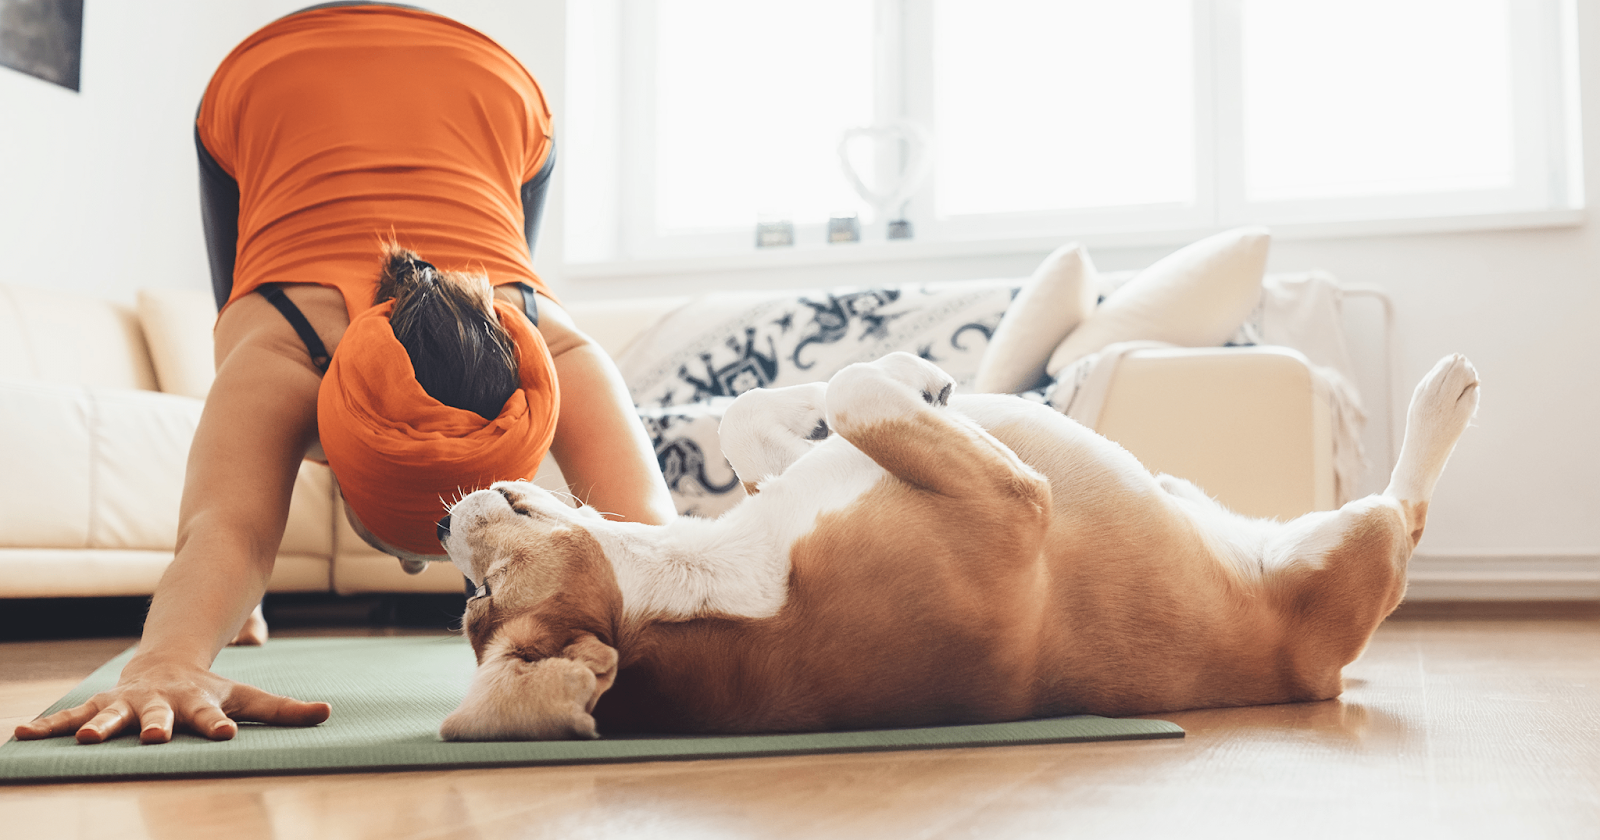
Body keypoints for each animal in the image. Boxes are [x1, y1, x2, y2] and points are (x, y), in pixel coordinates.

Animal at [435, 350, 1472, 736]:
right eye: (478, 601)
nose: (441, 524)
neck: (714, 581)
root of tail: (1322, 678)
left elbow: (753, 415)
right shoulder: (1014, 505)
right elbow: (854, 388)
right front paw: (913, 367)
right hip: (1358, 546)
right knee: (1407, 512)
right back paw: (1442, 399)